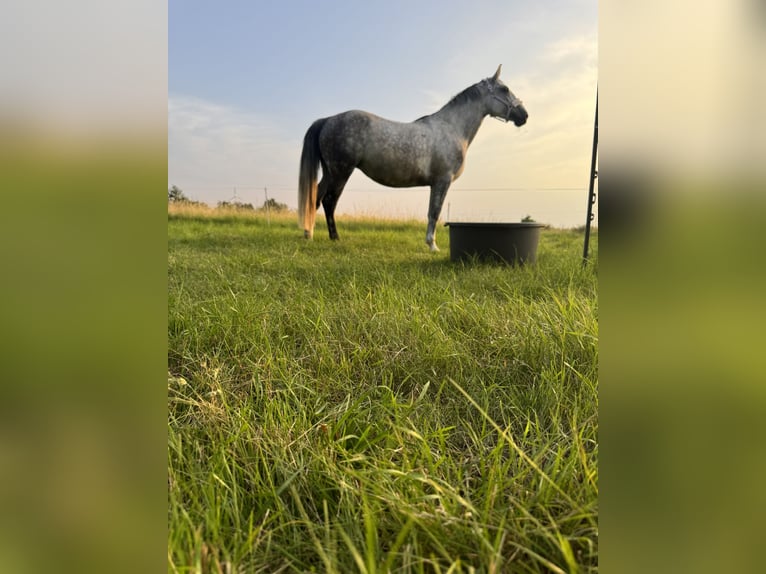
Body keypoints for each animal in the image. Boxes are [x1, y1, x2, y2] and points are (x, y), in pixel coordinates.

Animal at [298, 65, 527, 251]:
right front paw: (432, 246)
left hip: (330, 172)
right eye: (505, 89)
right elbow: (434, 212)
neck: (451, 128)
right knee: (329, 201)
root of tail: (328, 120)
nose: (524, 115)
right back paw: (335, 238)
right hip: (341, 171)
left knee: (315, 198)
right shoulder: (442, 181)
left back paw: (309, 235)